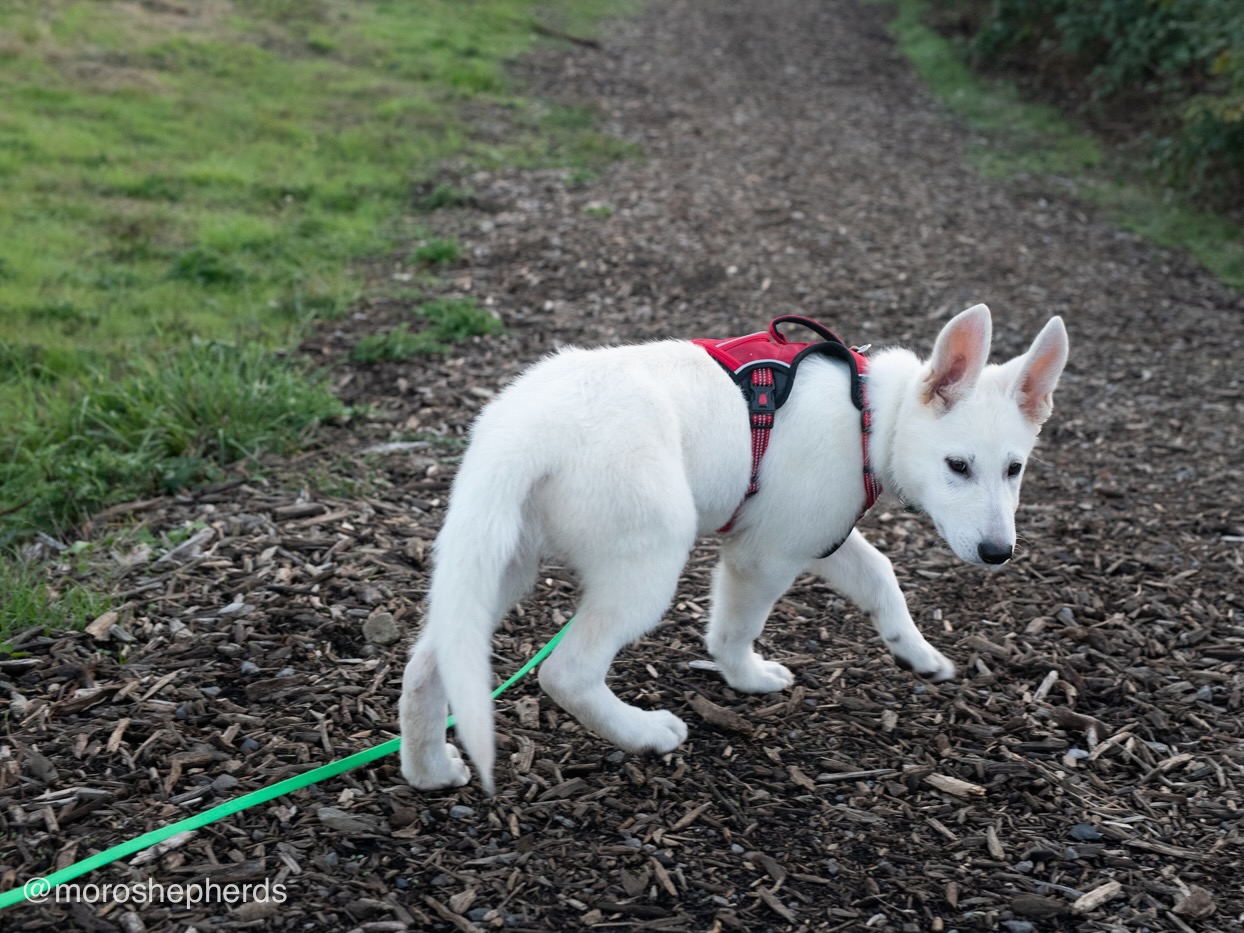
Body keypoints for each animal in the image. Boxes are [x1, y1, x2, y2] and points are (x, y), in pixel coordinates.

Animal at [398, 307, 1069, 796]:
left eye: (1014, 469)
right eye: (958, 466)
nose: (997, 552)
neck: (871, 415)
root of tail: (524, 433)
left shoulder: (815, 535)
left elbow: (881, 576)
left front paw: (919, 655)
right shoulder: (764, 555)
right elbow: (736, 628)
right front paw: (744, 677)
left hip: (498, 561)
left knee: (430, 663)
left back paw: (430, 770)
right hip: (647, 564)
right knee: (567, 672)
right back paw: (645, 733)